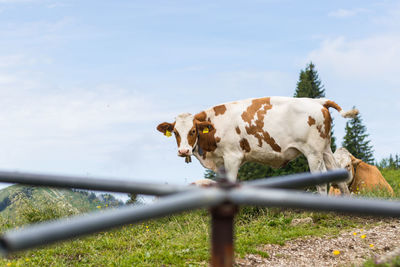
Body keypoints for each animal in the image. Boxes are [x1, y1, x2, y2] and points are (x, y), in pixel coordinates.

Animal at [156, 97, 356, 194]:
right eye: (175, 132)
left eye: (192, 131)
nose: (183, 151)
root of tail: (317, 101)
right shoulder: (220, 162)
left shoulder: (233, 157)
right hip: (325, 150)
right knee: (340, 177)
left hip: (313, 152)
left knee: (321, 181)